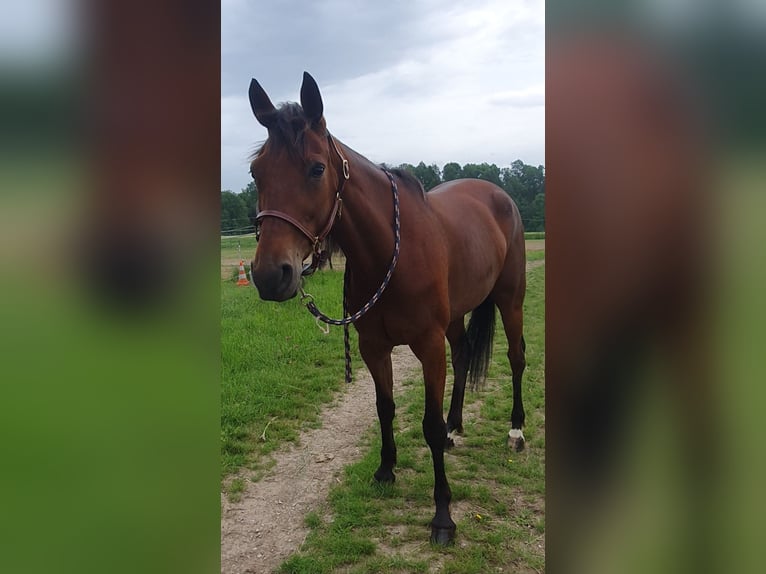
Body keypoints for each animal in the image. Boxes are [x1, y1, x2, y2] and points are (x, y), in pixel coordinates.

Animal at [246, 74, 528, 548]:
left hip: (511, 299)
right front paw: (385, 470)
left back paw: (516, 431)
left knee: (516, 357)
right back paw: (456, 427)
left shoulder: (427, 346)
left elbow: (427, 425)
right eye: (255, 172)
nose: (270, 275)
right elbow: (385, 407)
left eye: (316, 168)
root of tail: (498, 193)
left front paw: (442, 516)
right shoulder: (373, 347)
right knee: (464, 354)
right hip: (457, 317)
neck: (389, 253)